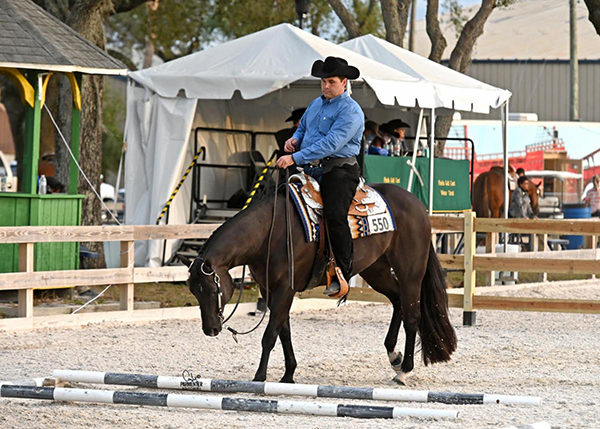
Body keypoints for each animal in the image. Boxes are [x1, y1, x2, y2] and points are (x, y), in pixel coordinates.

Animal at [185, 182, 458, 382]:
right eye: (194, 292)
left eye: (211, 289)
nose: (210, 329)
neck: (269, 233)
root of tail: (418, 205)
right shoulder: (270, 289)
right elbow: (284, 330)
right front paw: (288, 374)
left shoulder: (285, 288)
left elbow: (270, 334)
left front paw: (260, 377)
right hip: (376, 270)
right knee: (398, 300)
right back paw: (394, 356)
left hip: (410, 272)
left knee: (413, 316)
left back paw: (404, 370)